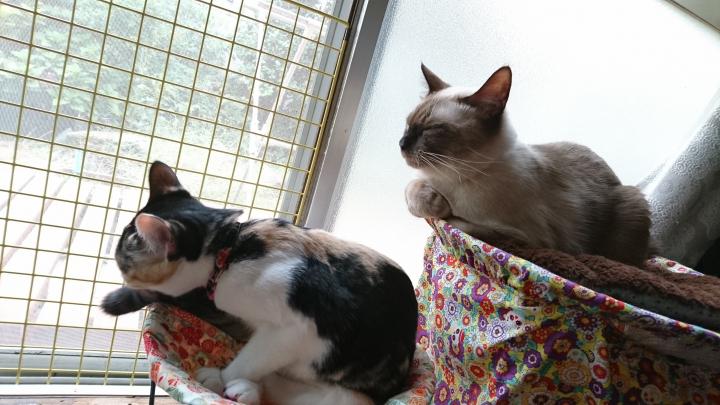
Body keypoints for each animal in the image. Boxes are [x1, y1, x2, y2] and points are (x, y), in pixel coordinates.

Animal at [106, 161, 418, 405]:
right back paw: (249, 391)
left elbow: (250, 358)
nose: (119, 271)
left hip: (344, 384)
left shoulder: (297, 330)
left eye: (122, 260)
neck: (228, 249)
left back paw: (238, 386)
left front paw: (222, 375)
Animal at [401, 64, 652, 266]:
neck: (452, 177)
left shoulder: (517, 236)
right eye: (407, 125)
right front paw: (434, 202)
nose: (401, 144)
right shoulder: (422, 182)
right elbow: (412, 193)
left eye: (431, 129)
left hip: (632, 203)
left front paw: (441, 208)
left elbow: (453, 221)